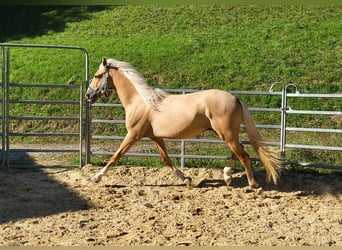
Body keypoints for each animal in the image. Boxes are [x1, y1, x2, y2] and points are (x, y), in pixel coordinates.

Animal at [86, 57, 284, 188]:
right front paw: (187, 179)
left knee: (244, 155)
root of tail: (235, 98)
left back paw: (253, 185)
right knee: (239, 151)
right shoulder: (155, 137)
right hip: (225, 134)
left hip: (226, 134)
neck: (141, 101)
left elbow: (115, 156)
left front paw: (96, 177)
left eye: (97, 75)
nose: (88, 96)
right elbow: (166, 159)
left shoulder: (133, 135)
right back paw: (227, 177)